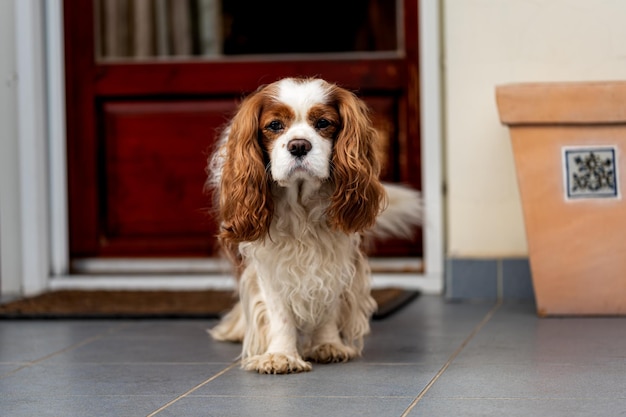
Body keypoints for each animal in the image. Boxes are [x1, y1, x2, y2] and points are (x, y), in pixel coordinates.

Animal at [206, 78, 420, 374]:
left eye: (323, 123)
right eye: (275, 125)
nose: (299, 145)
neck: (301, 205)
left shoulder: (337, 256)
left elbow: (328, 302)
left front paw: (327, 344)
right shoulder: (267, 263)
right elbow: (278, 312)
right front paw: (280, 354)